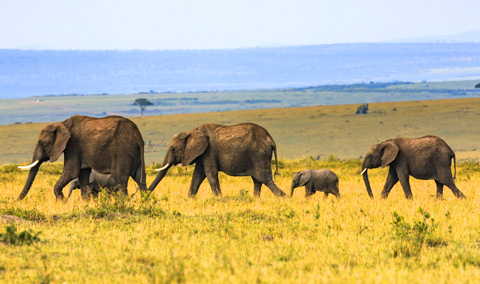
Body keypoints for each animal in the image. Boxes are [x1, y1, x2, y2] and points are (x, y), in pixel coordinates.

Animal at [17, 114, 146, 201]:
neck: (62, 123)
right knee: (140, 179)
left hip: (122, 152)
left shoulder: (72, 145)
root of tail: (138, 136)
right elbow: (83, 175)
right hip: (135, 153)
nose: (17, 200)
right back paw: (145, 203)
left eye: (41, 143)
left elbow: (71, 172)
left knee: (121, 179)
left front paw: (62, 202)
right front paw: (85, 203)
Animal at [148, 122, 286, 197]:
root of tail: (271, 140)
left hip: (259, 154)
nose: (145, 195)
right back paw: (255, 200)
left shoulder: (209, 151)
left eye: (172, 149)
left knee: (265, 179)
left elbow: (210, 174)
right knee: (257, 180)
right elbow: (197, 176)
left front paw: (219, 199)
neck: (191, 131)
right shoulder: (202, 154)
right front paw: (189, 199)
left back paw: (286, 198)